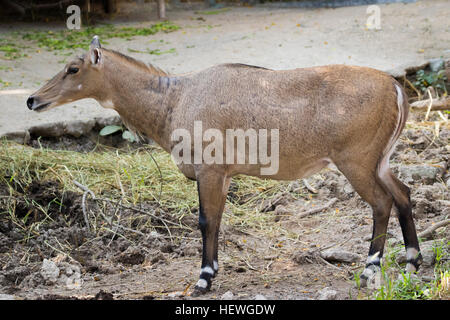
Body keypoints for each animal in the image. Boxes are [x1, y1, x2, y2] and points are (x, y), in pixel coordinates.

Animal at [27, 35, 422, 296]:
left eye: (72, 68)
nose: (32, 99)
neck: (174, 100)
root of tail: (395, 88)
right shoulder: (224, 175)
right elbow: (216, 220)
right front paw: (212, 271)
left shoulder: (210, 170)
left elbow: (206, 220)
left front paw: (203, 278)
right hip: (379, 161)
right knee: (403, 193)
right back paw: (413, 260)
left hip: (355, 161)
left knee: (382, 202)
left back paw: (370, 270)